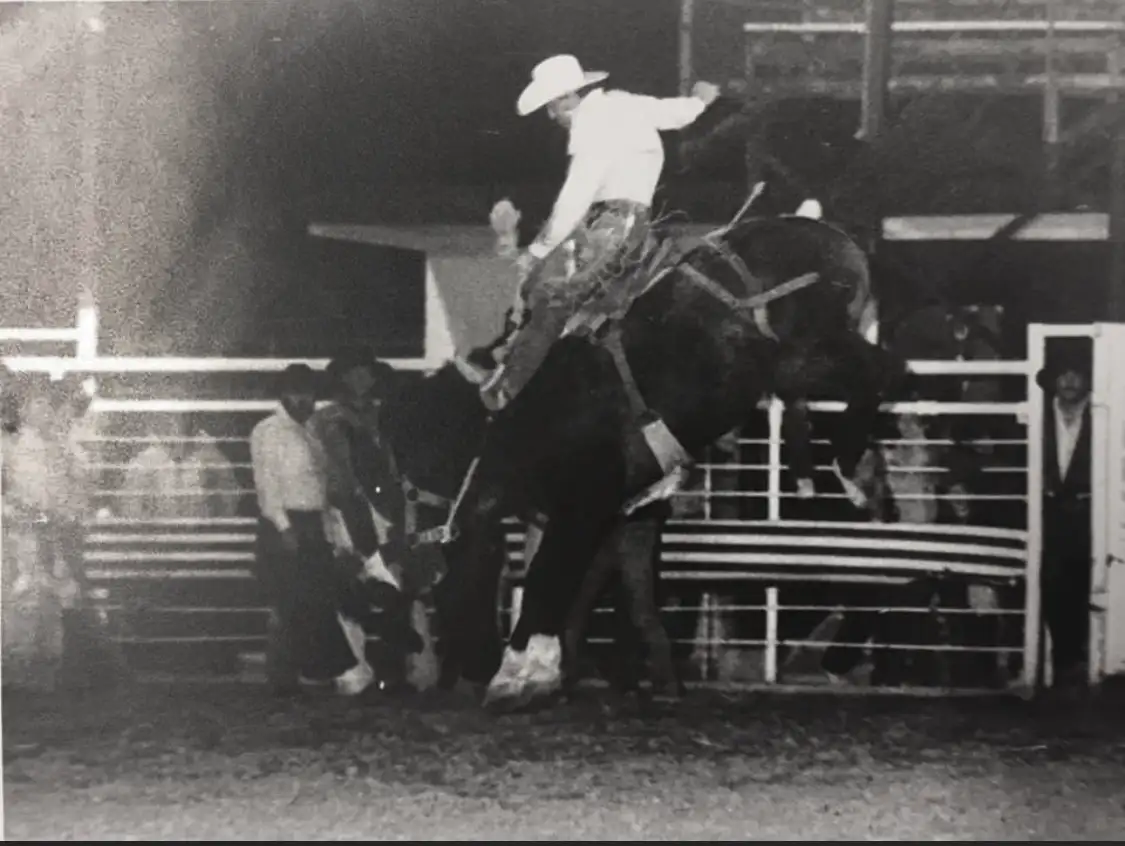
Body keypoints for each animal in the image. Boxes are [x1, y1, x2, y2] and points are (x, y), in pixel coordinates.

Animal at [434, 210, 909, 706]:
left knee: (880, 371)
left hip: (803, 354)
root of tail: (836, 240)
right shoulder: (626, 516)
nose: (457, 663)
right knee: (878, 373)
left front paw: (516, 675)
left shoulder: (583, 505)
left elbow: (550, 578)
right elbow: (608, 592)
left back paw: (847, 468)